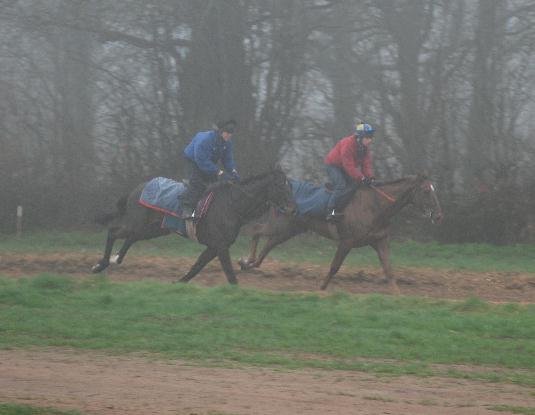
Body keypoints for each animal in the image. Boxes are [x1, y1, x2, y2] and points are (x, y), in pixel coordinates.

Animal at [91, 167, 294, 284]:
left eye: (289, 185)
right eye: (280, 185)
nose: (292, 208)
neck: (233, 204)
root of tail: (136, 189)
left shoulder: (214, 246)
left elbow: (196, 267)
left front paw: (178, 283)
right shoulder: (220, 245)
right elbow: (229, 273)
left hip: (153, 229)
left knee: (130, 238)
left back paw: (115, 259)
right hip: (138, 223)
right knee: (113, 232)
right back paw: (101, 265)